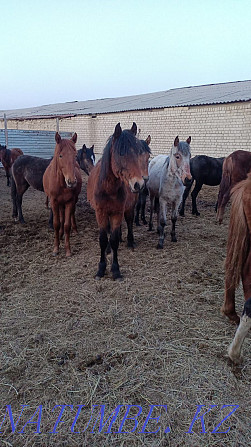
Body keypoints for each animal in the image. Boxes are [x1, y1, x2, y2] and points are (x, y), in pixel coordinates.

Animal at [87, 122, 147, 280]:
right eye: (121, 153)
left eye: (138, 153)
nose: (138, 184)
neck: (109, 189)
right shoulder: (101, 213)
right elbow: (103, 239)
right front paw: (101, 269)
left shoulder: (118, 212)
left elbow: (114, 240)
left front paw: (115, 270)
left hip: (128, 208)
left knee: (130, 222)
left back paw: (130, 241)